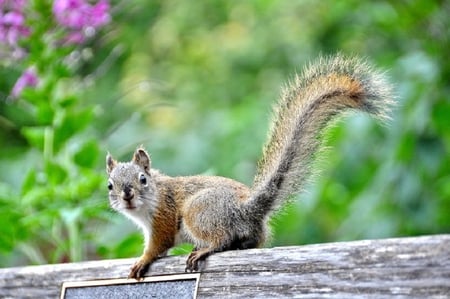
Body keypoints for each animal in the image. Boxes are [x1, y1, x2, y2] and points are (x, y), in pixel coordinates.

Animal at [106, 55, 394, 280]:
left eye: (143, 179)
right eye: (110, 185)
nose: (127, 195)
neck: (148, 204)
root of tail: (246, 209)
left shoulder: (164, 217)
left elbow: (157, 246)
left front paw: (142, 261)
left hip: (197, 211)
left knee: (221, 238)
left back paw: (204, 249)